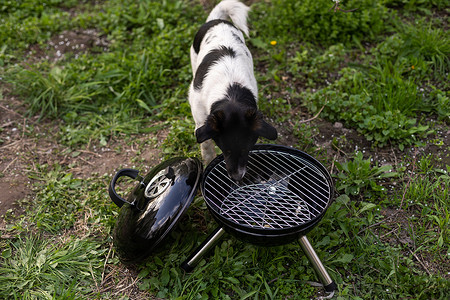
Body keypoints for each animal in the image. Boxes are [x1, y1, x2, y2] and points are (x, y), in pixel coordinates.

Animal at [187, 0, 278, 182]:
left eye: (246, 149)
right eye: (225, 149)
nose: (236, 177)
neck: (231, 94)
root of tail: (217, 20)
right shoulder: (200, 120)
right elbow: (206, 146)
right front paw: (208, 163)